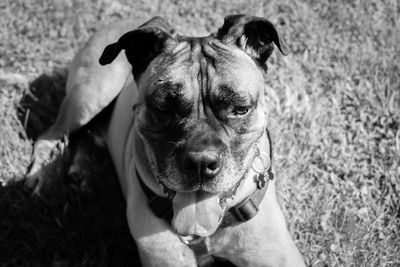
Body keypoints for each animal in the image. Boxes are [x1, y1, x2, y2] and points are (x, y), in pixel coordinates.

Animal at [26, 15, 304, 267]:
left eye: (241, 108)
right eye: (162, 107)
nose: (200, 162)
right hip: (90, 97)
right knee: (51, 134)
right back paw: (41, 177)